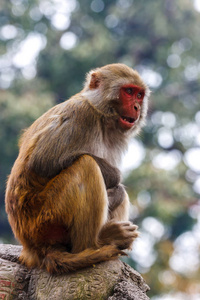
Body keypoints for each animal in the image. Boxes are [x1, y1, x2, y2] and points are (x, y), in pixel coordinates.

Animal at [4, 63, 149, 274]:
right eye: (128, 92)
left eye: (139, 95)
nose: (137, 107)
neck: (101, 115)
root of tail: (31, 247)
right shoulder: (81, 115)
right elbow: (42, 161)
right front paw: (115, 175)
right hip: (45, 220)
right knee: (86, 164)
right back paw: (96, 244)